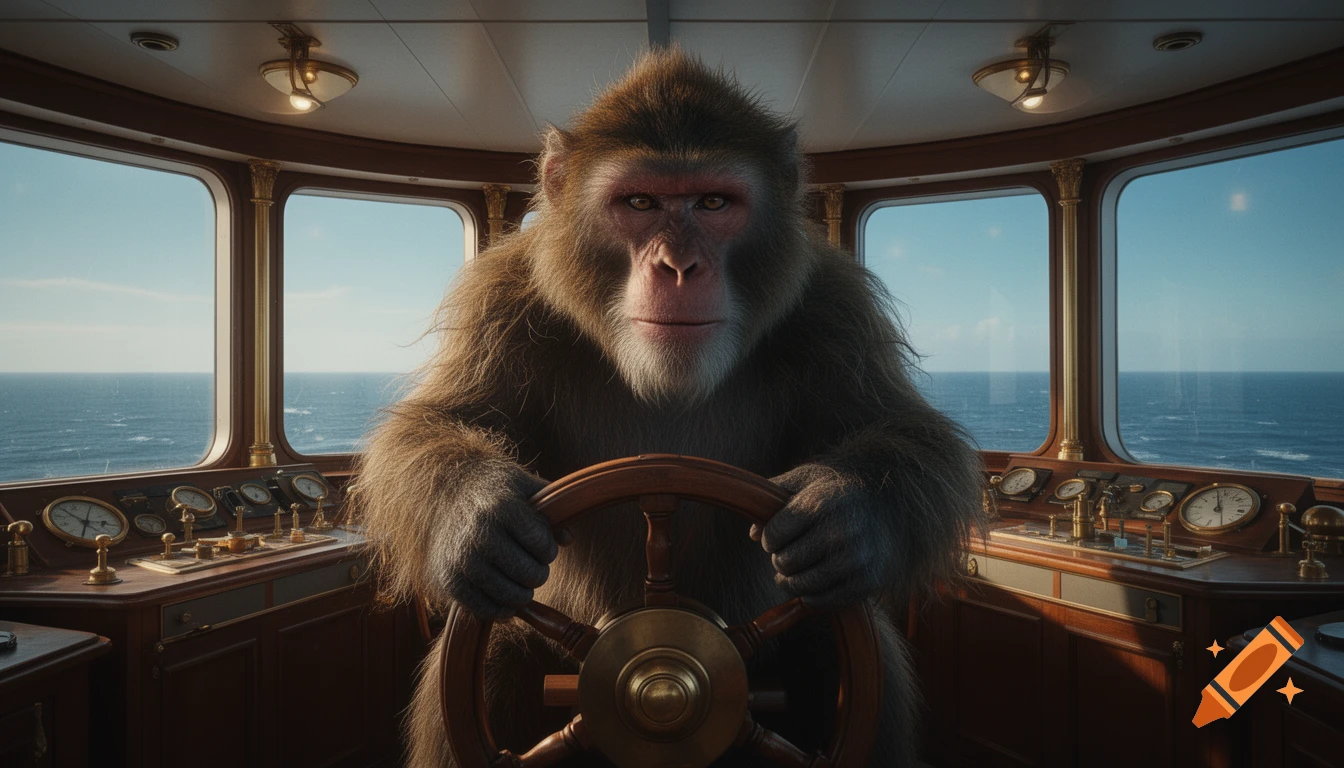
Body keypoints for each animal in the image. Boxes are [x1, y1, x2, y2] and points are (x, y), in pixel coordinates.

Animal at [353, 48, 984, 768]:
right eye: (640, 202)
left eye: (712, 201)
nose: (678, 266)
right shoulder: (505, 298)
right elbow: (442, 419)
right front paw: (475, 515)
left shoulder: (832, 304)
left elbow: (905, 428)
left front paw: (849, 517)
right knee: (488, 664)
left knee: (841, 650)